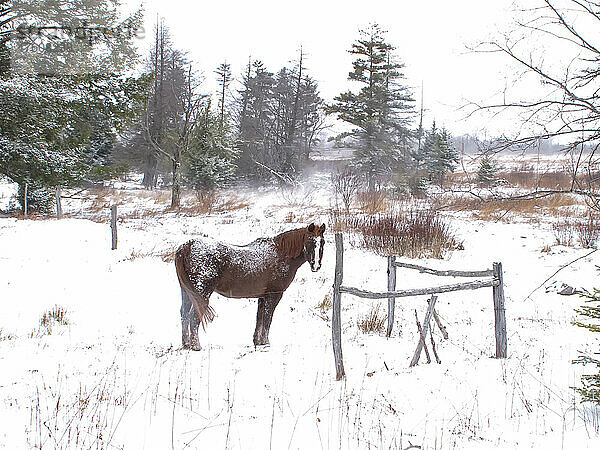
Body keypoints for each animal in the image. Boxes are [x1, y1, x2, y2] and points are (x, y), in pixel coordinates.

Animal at [175, 223, 324, 350]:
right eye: (309, 242)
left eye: (322, 242)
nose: (316, 266)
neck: (281, 255)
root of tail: (187, 246)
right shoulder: (273, 295)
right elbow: (267, 319)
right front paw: (266, 343)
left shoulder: (263, 297)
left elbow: (260, 318)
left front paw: (258, 342)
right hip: (201, 292)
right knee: (193, 315)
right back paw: (196, 346)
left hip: (187, 292)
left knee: (184, 314)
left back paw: (186, 344)